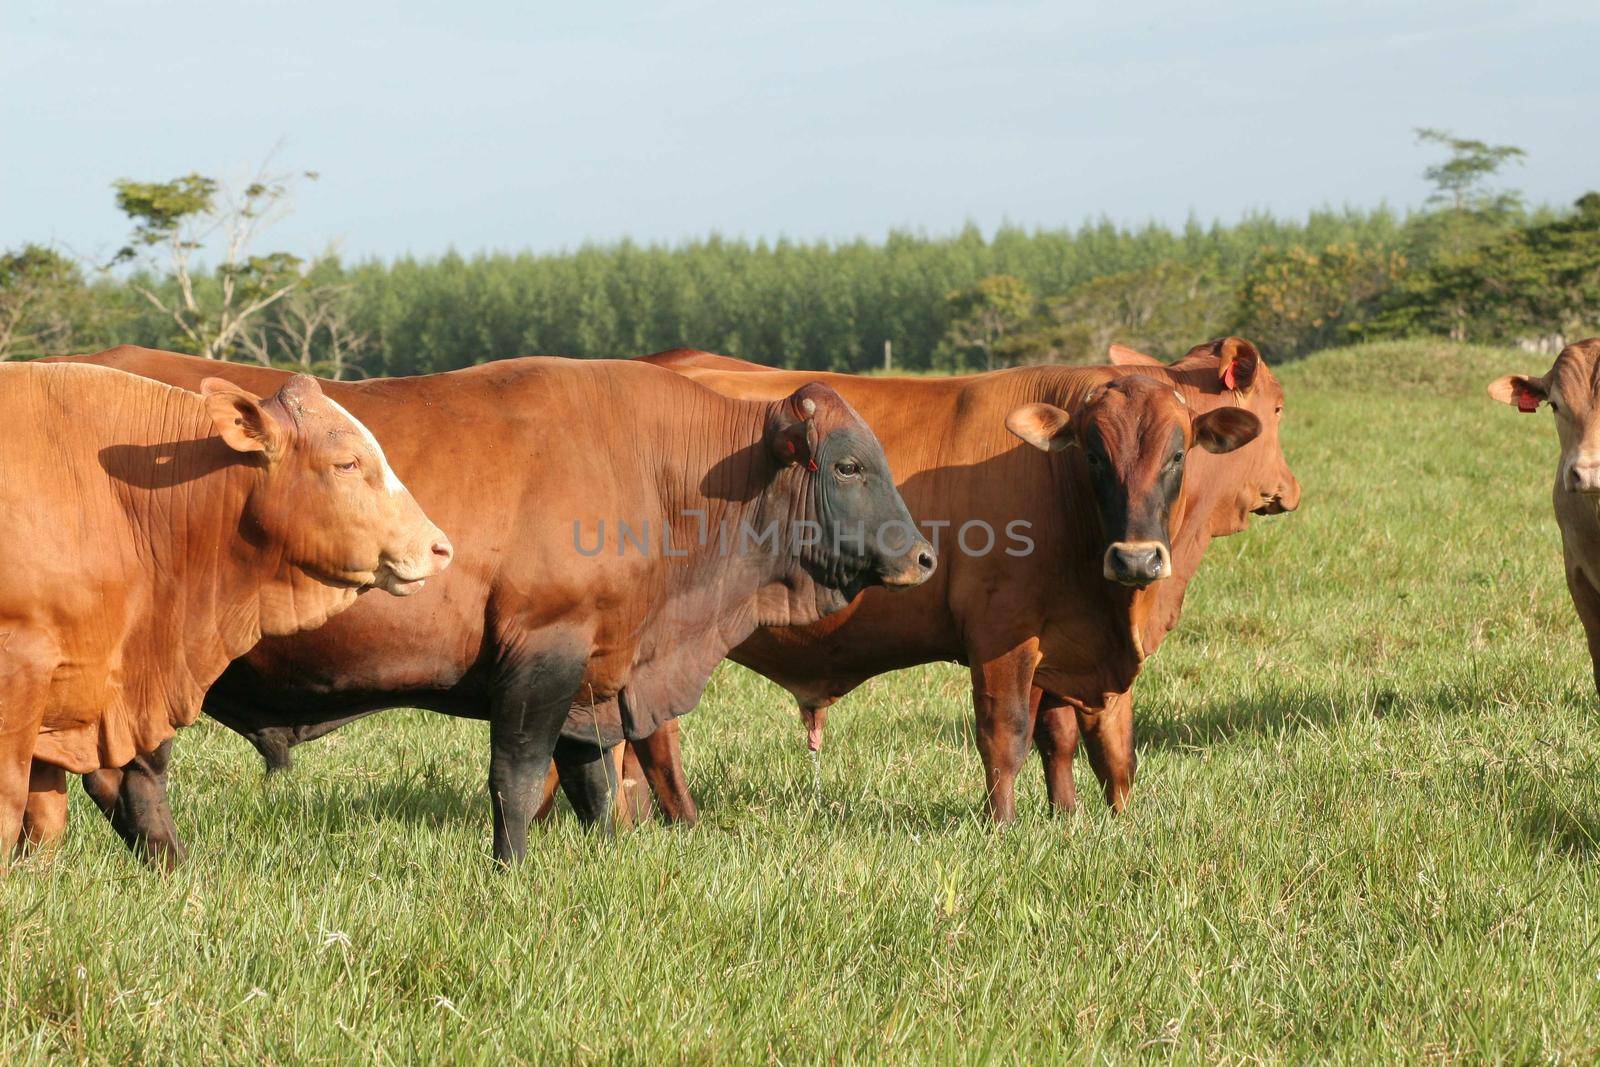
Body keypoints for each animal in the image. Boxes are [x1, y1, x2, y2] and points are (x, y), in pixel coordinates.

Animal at [62, 347, 934, 863]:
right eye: (849, 464)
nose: (923, 555)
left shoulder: (595, 672)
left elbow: (592, 779)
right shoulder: (543, 648)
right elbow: (517, 776)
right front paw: (509, 869)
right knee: (131, 775)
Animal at [601, 337, 1299, 825]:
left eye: (1179, 452)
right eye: (1095, 454)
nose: (1136, 559)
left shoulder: (1063, 644)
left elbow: (1073, 740)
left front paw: (1071, 818)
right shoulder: (1002, 635)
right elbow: (1006, 734)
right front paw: (1004, 825)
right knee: (654, 734)